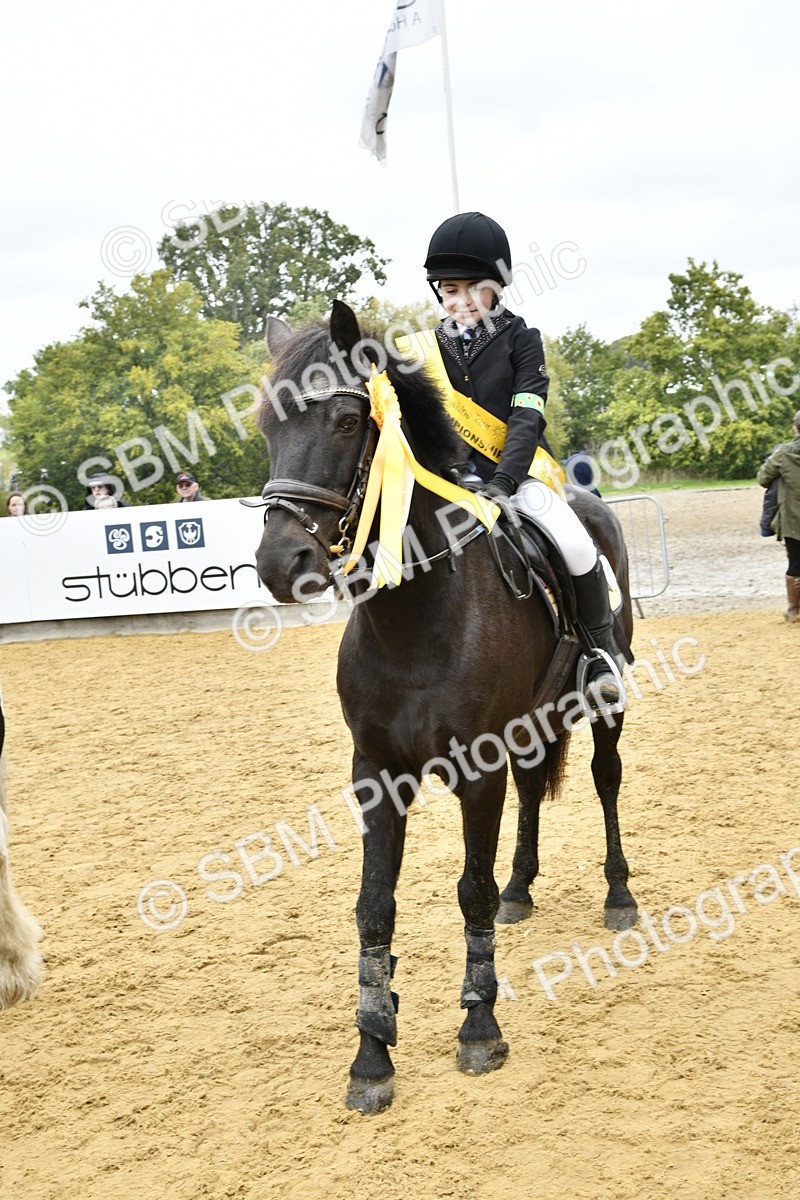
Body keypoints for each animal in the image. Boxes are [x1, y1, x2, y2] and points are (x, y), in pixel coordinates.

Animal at [255, 301, 638, 1113]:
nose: (280, 564)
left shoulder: (476, 771)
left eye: (346, 421)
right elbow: (374, 907)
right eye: (268, 429)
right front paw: (371, 1053)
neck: (415, 619)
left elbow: (471, 893)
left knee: (606, 781)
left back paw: (619, 895)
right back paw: (526, 887)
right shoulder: (376, 775)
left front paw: (479, 1028)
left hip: (605, 703)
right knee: (534, 791)